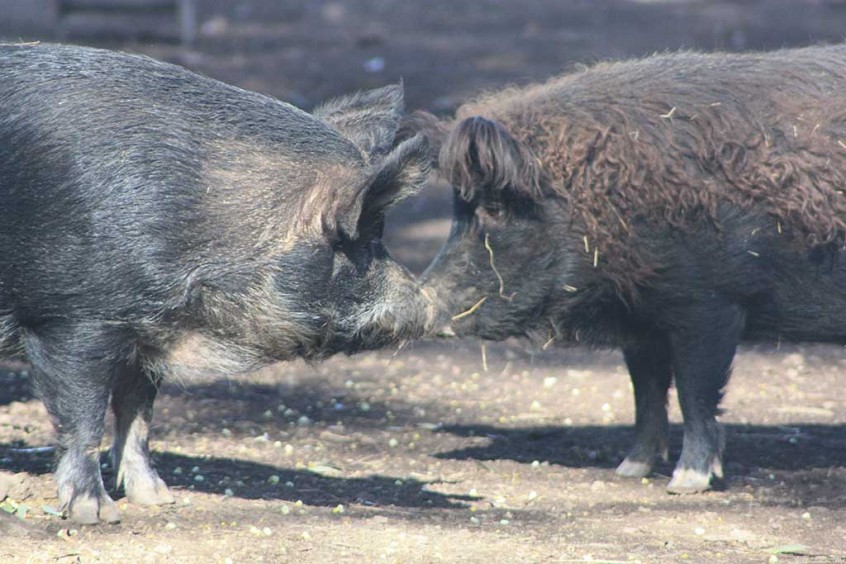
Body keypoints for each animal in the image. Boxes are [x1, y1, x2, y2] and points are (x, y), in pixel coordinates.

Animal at [0, 44, 434, 524]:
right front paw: (96, 514)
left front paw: (158, 498)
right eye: (365, 238)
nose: (428, 305)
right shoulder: (69, 321)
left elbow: (138, 415)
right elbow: (84, 418)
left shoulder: (146, 335)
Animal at [424, 44, 846, 494]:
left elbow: (695, 393)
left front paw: (685, 483)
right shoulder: (642, 320)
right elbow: (645, 391)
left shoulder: (712, 305)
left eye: (495, 207)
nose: (426, 302)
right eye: (458, 210)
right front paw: (629, 469)